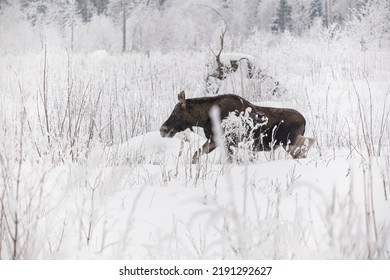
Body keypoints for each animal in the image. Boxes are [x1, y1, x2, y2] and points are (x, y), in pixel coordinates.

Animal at [160, 91, 316, 163]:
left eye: (175, 112)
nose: (163, 129)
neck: (204, 119)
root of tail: (304, 120)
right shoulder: (214, 140)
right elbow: (196, 155)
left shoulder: (228, 141)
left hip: (289, 141)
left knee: (307, 143)